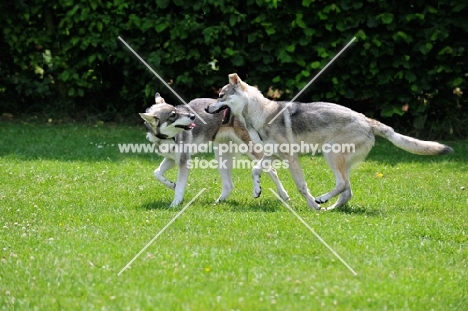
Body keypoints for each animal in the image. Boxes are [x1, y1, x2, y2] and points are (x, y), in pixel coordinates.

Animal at [139, 92, 288, 207]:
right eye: (173, 115)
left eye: (177, 110)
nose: (193, 116)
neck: (167, 138)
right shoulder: (171, 159)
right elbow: (157, 173)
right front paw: (171, 184)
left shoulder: (183, 161)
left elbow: (180, 188)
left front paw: (175, 204)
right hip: (221, 156)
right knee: (228, 185)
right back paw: (218, 202)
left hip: (251, 150)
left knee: (272, 171)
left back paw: (280, 194)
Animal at [206, 74, 454, 211]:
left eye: (220, 96)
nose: (207, 108)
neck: (261, 115)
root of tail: (367, 120)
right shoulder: (272, 155)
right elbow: (256, 171)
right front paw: (257, 190)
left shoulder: (290, 158)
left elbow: (301, 186)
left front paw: (312, 207)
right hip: (340, 161)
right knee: (347, 191)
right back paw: (331, 209)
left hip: (330, 154)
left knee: (342, 185)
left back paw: (322, 200)